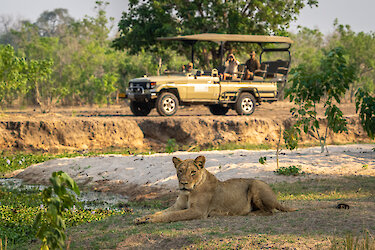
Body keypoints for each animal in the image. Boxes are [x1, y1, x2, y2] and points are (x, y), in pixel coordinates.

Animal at [135, 155, 296, 224]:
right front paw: (142, 218)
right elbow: (161, 212)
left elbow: (172, 216)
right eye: (180, 171)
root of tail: (275, 197)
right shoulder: (177, 206)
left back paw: (250, 213)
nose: (184, 183)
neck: (188, 193)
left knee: (269, 211)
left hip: (256, 185)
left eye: (193, 172)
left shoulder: (198, 211)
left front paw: (150, 220)